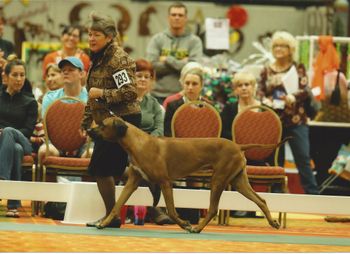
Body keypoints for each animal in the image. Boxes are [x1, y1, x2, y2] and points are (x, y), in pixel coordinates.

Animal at [88, 116, 282, 233]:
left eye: (103, 125)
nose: (89, 131)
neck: (138, 144)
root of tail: (238, 146)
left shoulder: (165, 182)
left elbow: (172, 211)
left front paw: (185, 224)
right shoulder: (132, 182)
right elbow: (116, 205)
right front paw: (104, 223)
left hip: (218, 180)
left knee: (213, 209)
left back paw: (197, 228)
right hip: (238, 182)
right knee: (261, 200)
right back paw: (273, 222)